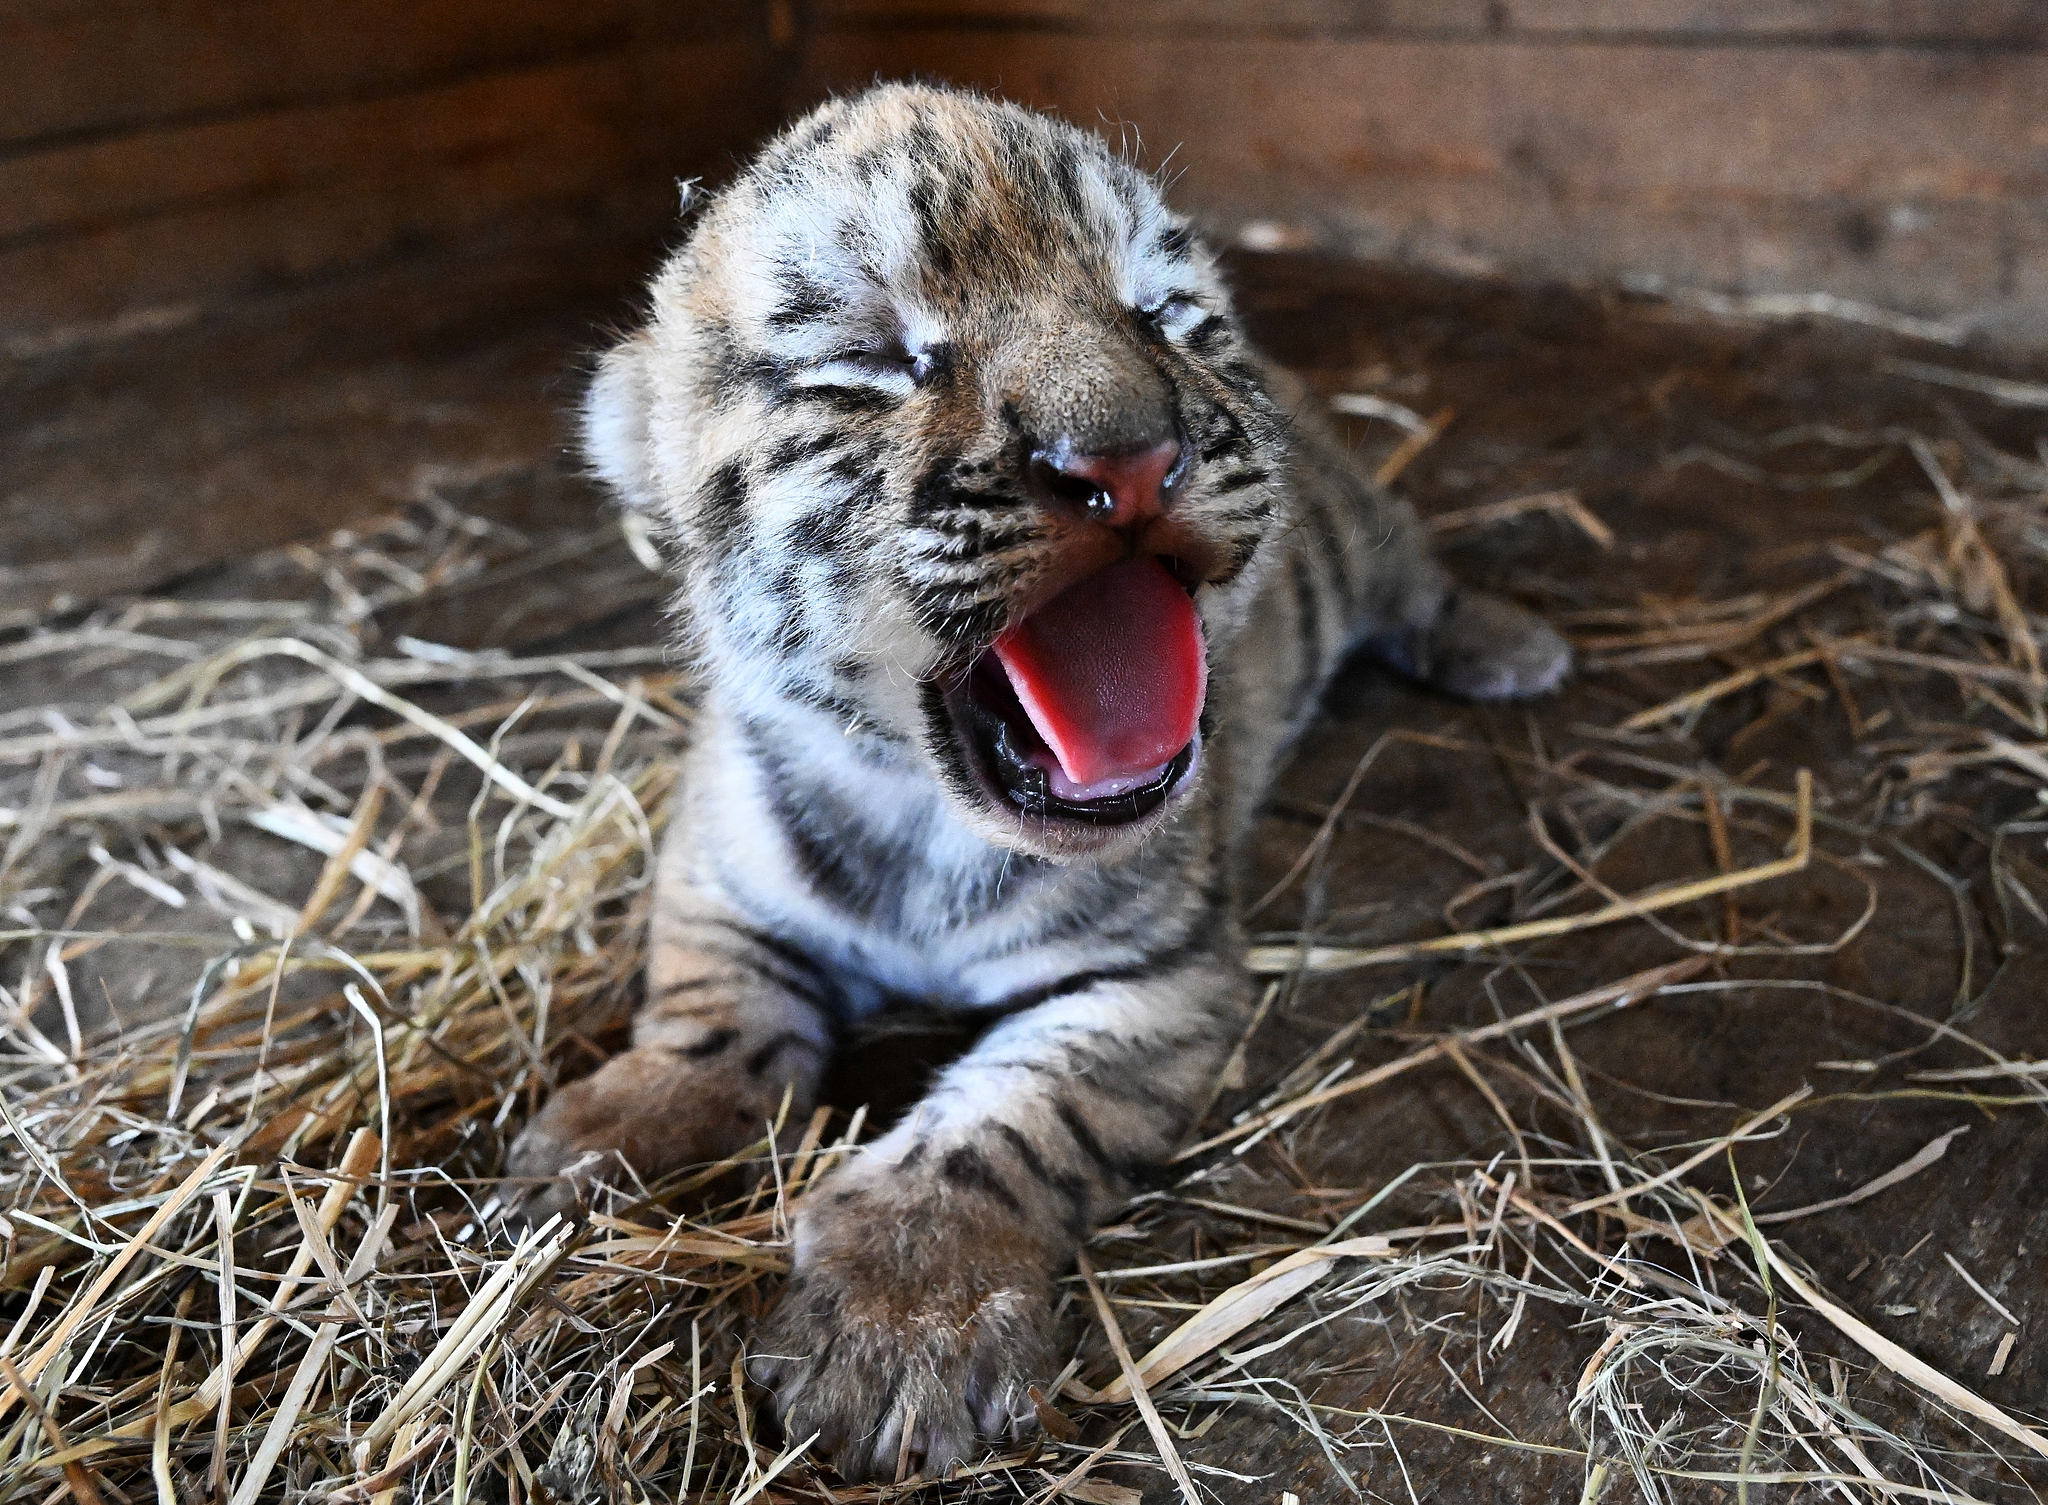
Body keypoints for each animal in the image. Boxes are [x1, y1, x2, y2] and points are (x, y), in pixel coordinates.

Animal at [501, 82, 1569, 1479]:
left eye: (1158, 311)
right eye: (873, 360)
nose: (1128, 459)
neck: (919, 819)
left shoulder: (1151, 976)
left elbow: (1008, 1123)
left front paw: (901, 1330)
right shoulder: (715, 870)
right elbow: (704, 1011)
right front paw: (601, 1135)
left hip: (1363, 534)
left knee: (1419, 577)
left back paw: (1507, 644)